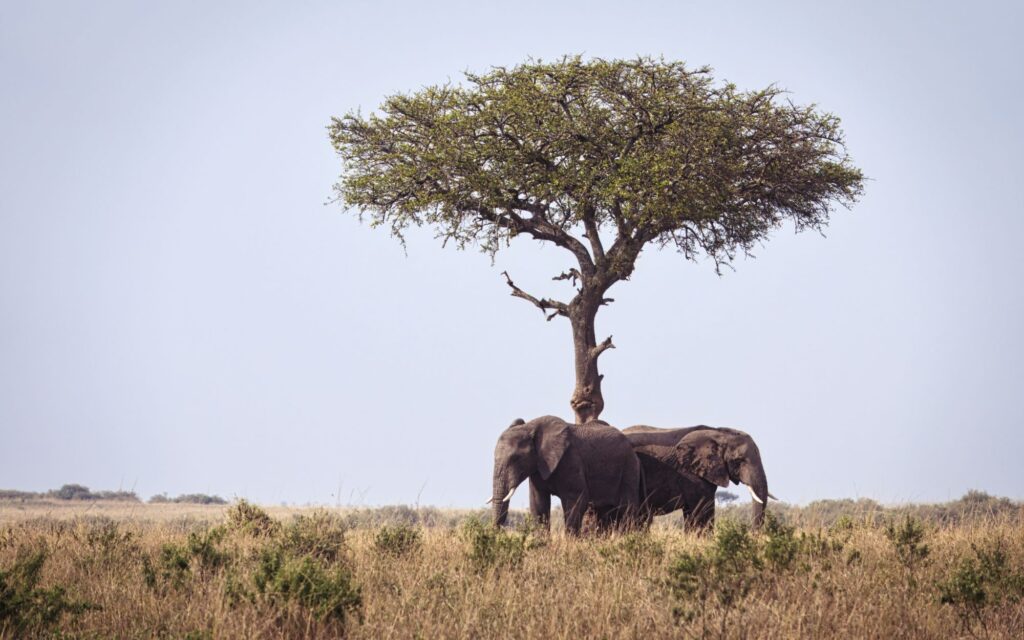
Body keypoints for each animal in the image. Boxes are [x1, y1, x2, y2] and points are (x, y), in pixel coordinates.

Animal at [490, 416, 644, 535]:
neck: (530, 426)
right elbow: (538, 503)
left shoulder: (571, 459)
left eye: (516, 458)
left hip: (629, 467)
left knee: (627, 507)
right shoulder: (537, 466)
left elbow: (577, 500)